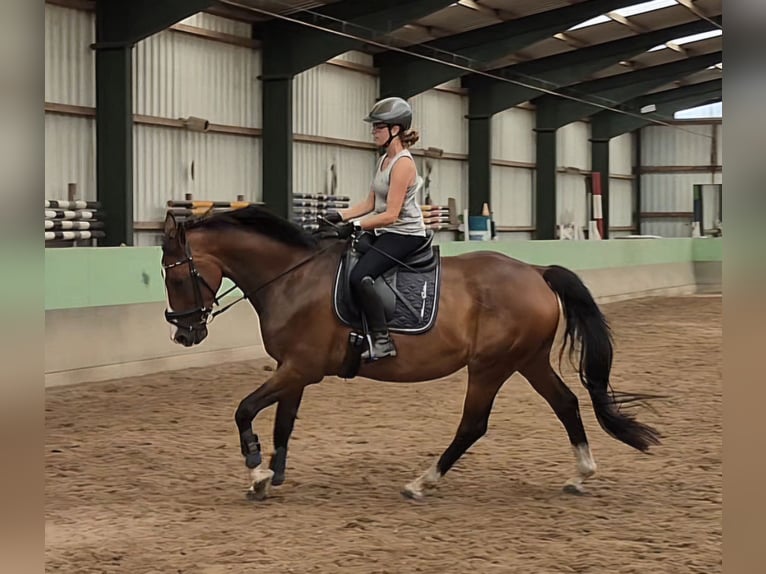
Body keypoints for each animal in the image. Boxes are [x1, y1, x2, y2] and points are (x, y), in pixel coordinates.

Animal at [160, 205, 661, 501]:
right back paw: (580, 474)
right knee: (567, 403)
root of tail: (536, 272)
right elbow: (283, 421)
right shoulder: (294, 370)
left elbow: (244, 410)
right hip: (527, 360)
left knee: (474, 424)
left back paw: (423, 482)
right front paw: (272, 474)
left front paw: (254, 470)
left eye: (177, 275)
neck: (292, 278)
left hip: (491, 366)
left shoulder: (300, 367)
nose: (186, 334)